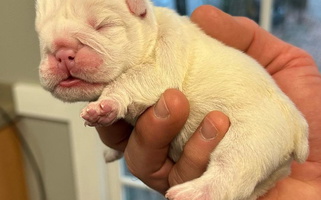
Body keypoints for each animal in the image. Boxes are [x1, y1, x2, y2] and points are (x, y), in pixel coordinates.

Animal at [35, 0, 308, 199]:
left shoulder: (160, 67)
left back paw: (194, 193)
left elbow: (128, 80)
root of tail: (298, 126)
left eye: (102, 26)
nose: (60, 52)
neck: (153, 31)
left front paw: (105, 105)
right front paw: (112, 150)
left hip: (252, 139)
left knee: (231, 173)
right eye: (41, 37)